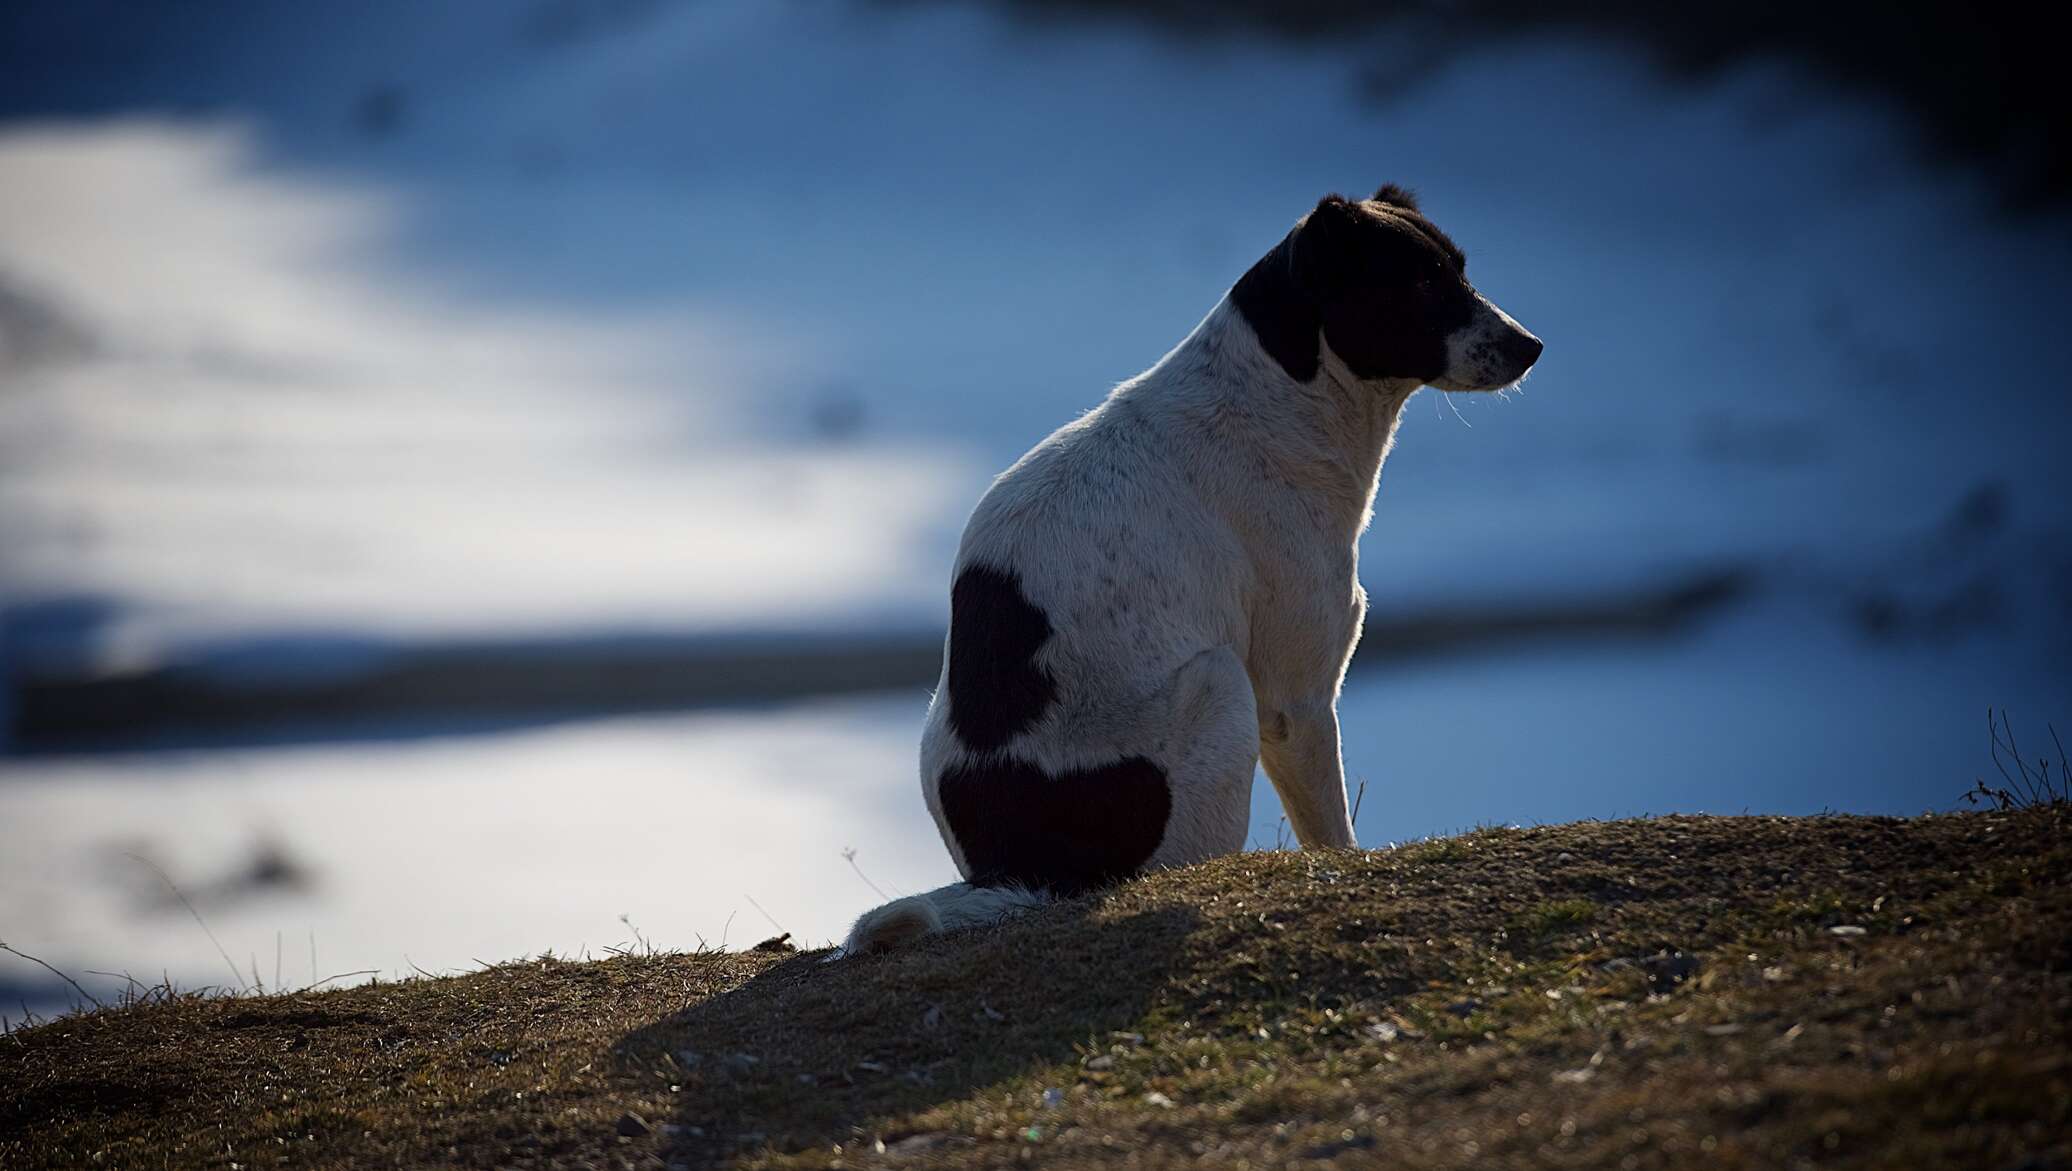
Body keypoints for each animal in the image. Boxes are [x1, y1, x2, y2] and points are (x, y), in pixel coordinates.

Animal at [841, 182, 1541, 949]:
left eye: (1460, 270)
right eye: (1420, 282)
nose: (1532, 346)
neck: (1276, 397)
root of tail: (1027, 873)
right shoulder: (1295, 702)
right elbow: (1332, 833)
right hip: (1218, 682)